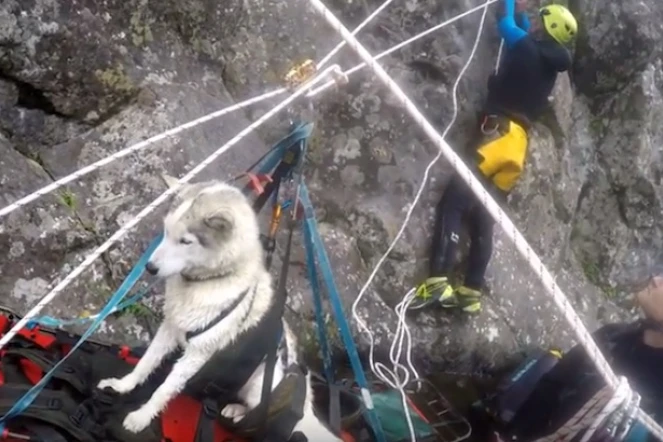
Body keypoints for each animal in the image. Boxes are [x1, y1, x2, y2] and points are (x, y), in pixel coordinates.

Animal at [98, 176, 342, 442]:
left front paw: (141, 417)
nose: (150, 267)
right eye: (166, 231)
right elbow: (145, 363)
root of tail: (307, 406)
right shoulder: (171, 327)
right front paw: (123, 385)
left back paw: (239, 411)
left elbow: (164, 389)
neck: (211, 280)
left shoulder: (197, 354)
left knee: (259, 412)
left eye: (186, 241)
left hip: (261, 386)